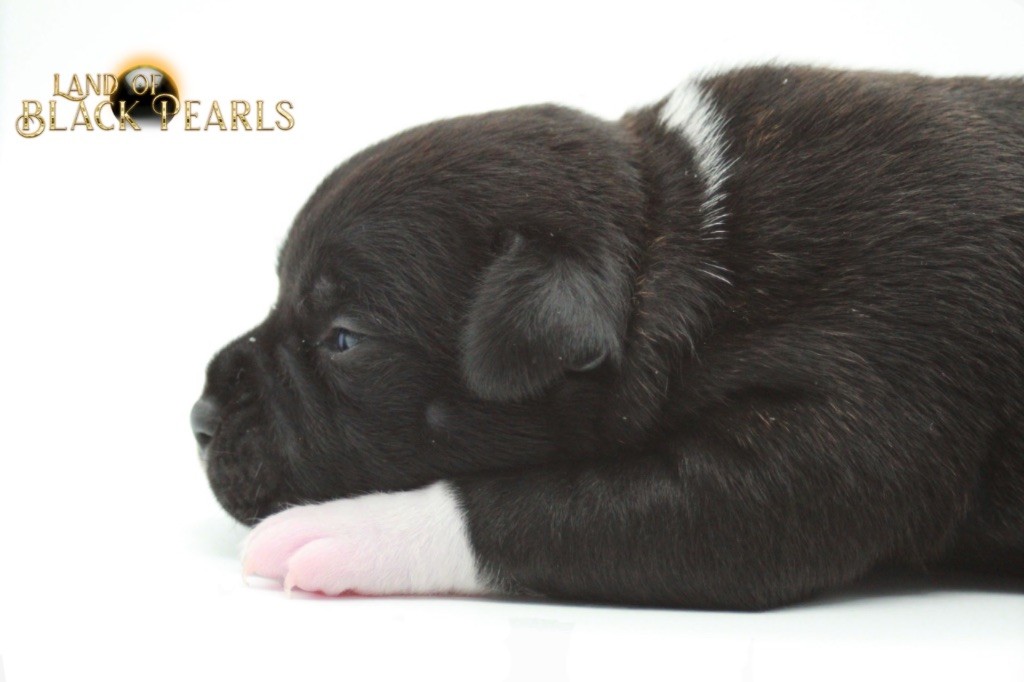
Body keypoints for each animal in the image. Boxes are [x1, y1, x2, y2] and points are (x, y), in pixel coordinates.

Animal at [191, 65, 1024, 609]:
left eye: (342, 340)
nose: (198, 419)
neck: (679, 234)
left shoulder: (836, 428)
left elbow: (525, 507)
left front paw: (339, 531)